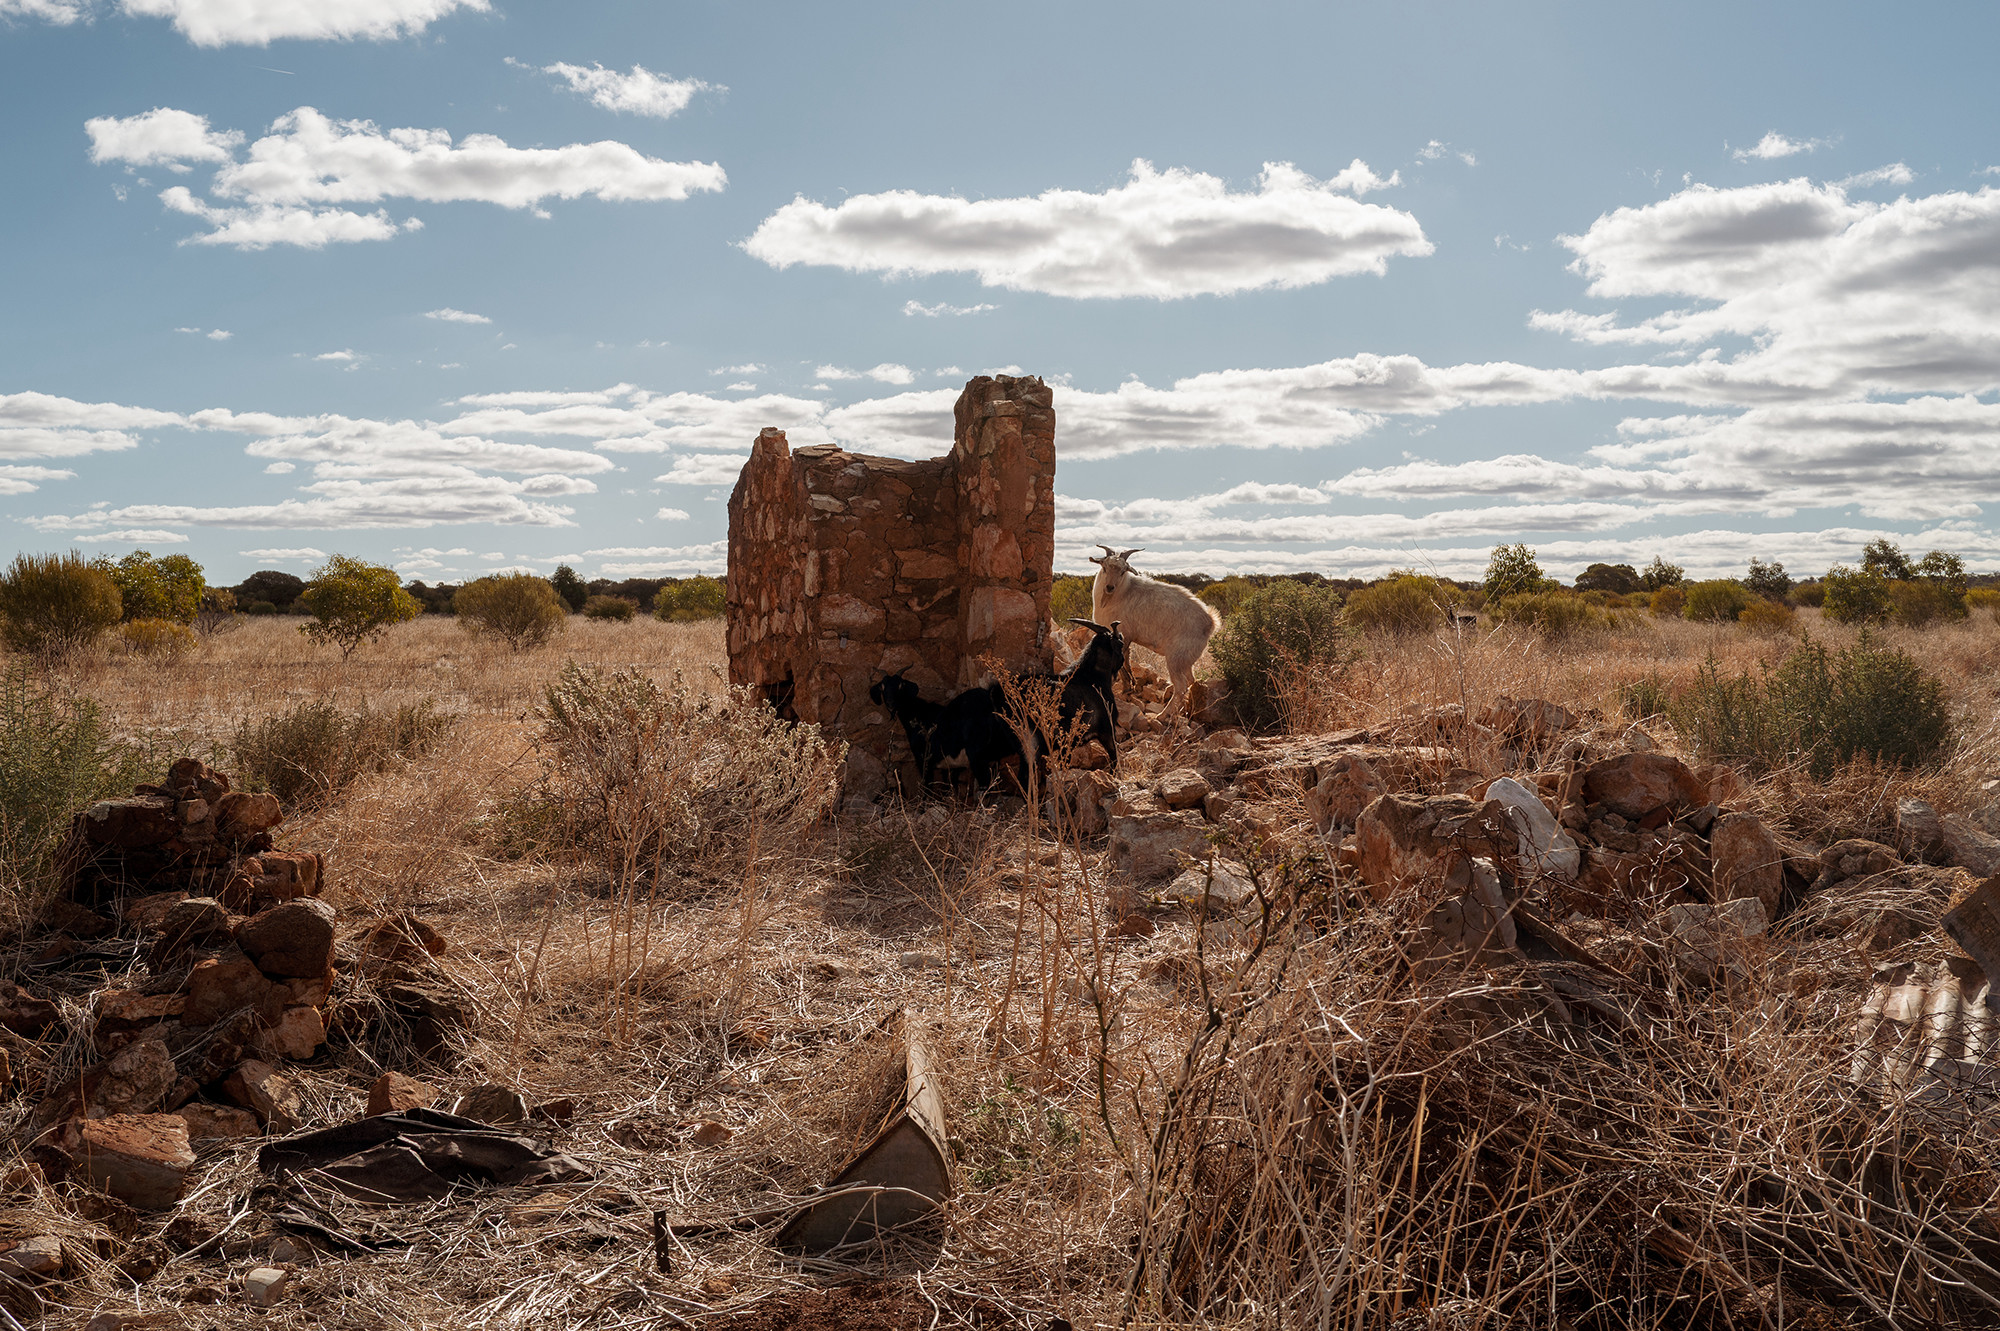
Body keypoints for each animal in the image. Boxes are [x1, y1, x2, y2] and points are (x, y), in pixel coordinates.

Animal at [1089, 546, 1219, 713]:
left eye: (1123, 571)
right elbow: (1127, 662)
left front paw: (1126, 688)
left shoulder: (1124, 635)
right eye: (1104, 567)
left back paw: (1163, 715)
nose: (1109, 587)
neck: (1121, 593)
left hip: (1175, 658)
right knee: (1191, 681)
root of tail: (1210, 621)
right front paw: (1130, 687)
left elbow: (1122, 664)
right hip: (1186, 661)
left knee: (1181, 686)